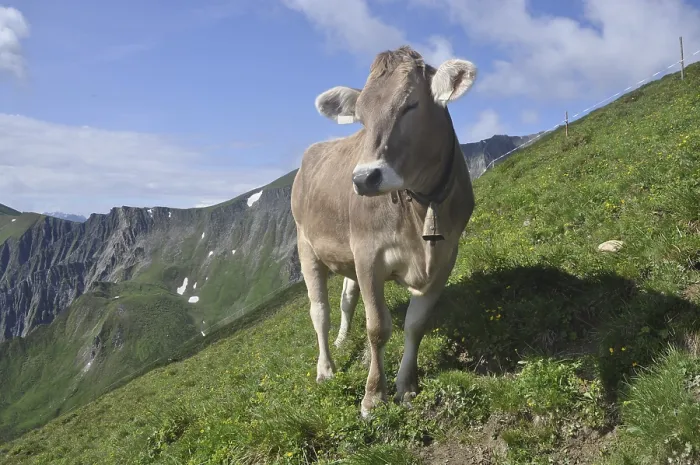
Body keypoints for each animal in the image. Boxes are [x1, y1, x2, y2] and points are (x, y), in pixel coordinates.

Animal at [290, 45, 477, 418]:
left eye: (410, 104)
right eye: (361, 118)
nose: (364, 178)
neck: (421, 209)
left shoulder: (446, 257)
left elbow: (415, 324)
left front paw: (407, 385)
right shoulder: (368, 256)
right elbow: (377, 327)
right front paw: (373, 397)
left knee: (346, 301)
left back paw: (342, 340)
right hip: (306, 245)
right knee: (320, 311)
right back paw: (326, 368)